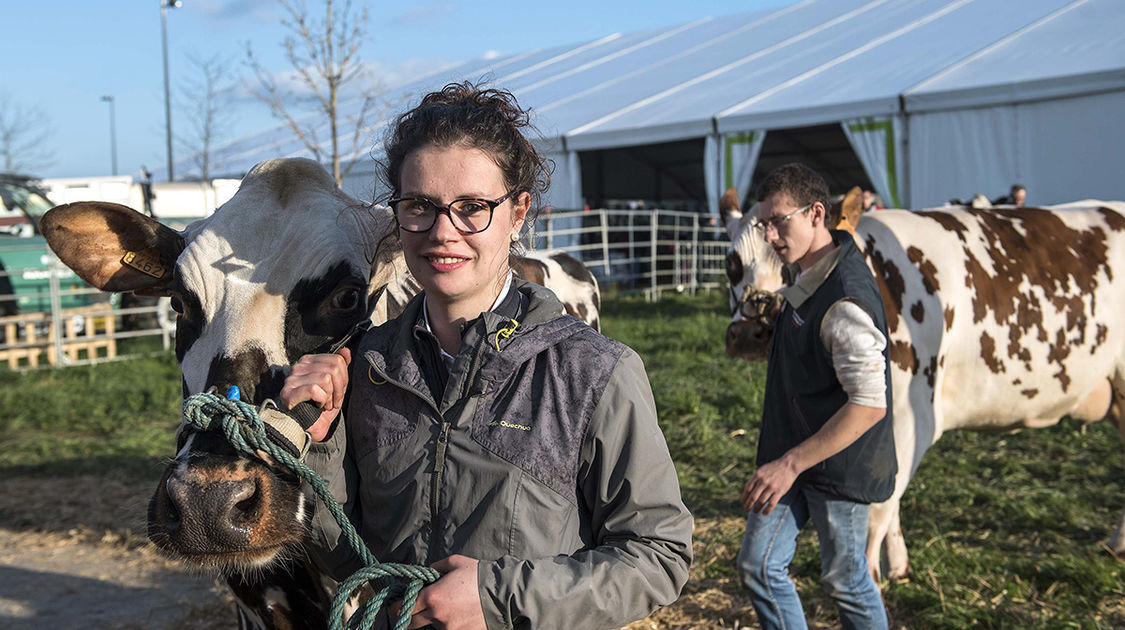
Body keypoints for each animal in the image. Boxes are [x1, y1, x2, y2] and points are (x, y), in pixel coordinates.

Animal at [720, 186, 1125, 580]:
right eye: (731, 262)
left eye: (791, 265)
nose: (748, 334)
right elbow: (890, 498)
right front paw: (898, 565)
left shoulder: (909, 414)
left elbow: (877, 512)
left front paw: (874, 576)